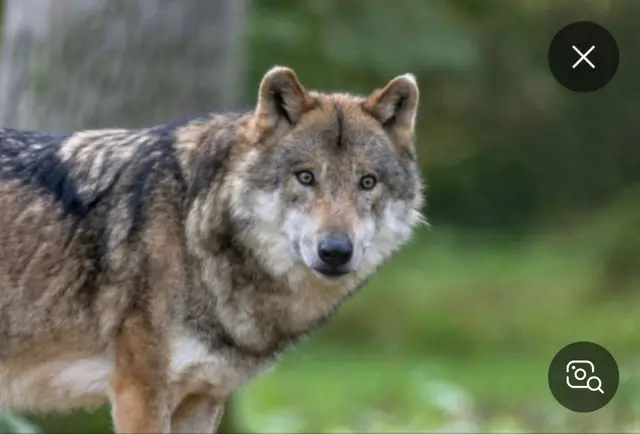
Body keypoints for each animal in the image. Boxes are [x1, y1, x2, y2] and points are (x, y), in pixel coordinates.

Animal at [0, 66, 424, 433]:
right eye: (305, 177)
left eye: (367, 182)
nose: (335, 250)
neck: (191, 227)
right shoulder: (139, 392)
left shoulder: (202, 397)